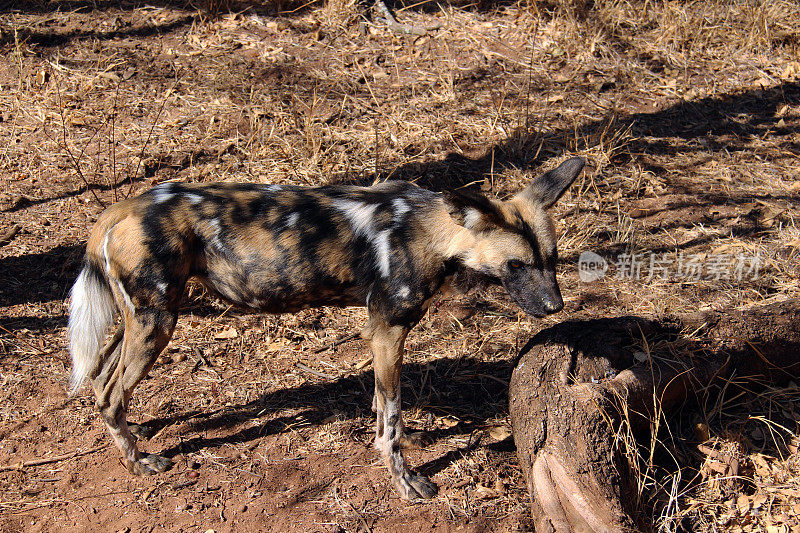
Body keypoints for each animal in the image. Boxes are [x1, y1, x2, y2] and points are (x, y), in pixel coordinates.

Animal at [69, 156, 584, 496]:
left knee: (100, 380)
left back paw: (134, 431)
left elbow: (382, 406)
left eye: (553, 259)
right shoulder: (387, 329)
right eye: (516, 266)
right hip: (157, 322)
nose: (555, 306)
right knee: (111, 392)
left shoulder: (382, 333)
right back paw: (137, 462)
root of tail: (118, 209)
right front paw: (404, 477)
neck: (429, 232)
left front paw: (399, 443)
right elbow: (391, 414)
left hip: (141, 320)